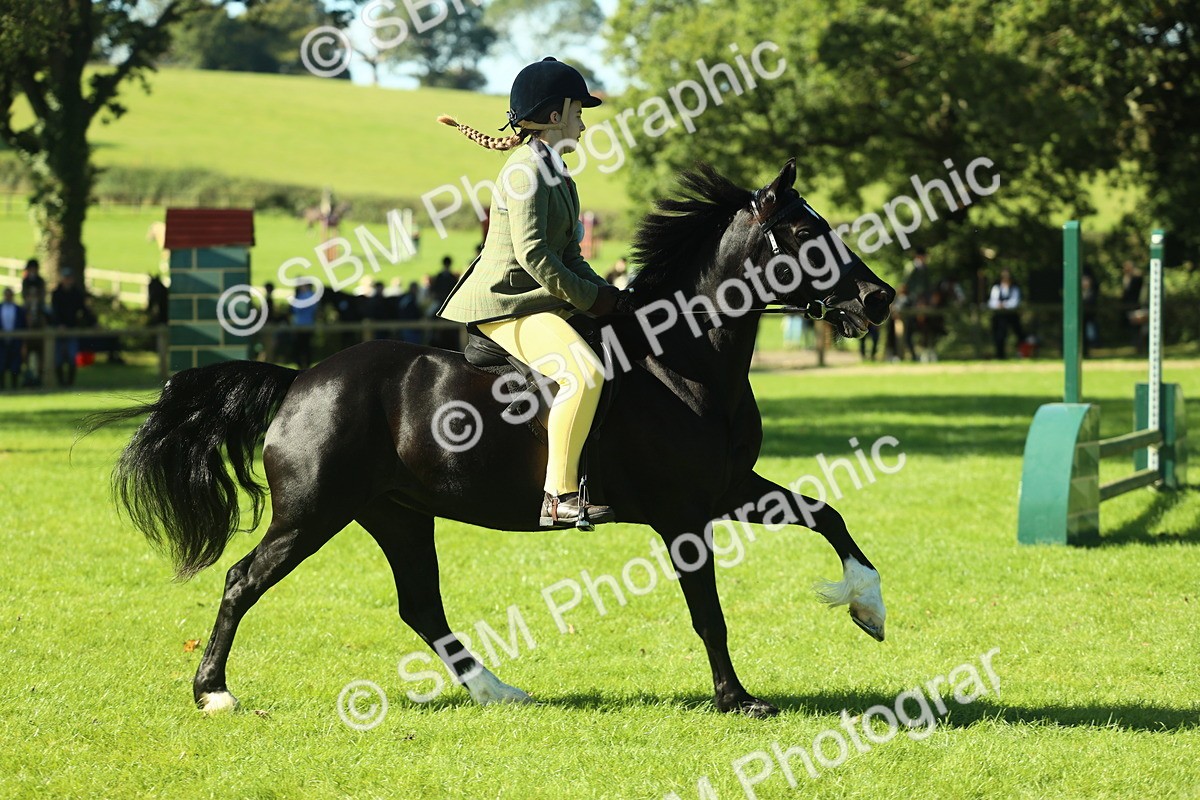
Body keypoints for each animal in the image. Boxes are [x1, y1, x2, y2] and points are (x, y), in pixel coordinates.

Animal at [91, 159, 894, 718]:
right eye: (805, 234)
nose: (879, 298)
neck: (682, 360)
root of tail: (300, 380)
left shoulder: (727, 489)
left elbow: (828, 515)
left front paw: (868, 610)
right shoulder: (682, 514)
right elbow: (709, 613)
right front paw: (738, 700)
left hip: (396, 514)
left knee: (421, 607)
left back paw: (498, 692)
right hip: (313, 514)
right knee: (241, 581)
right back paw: (214, 693)